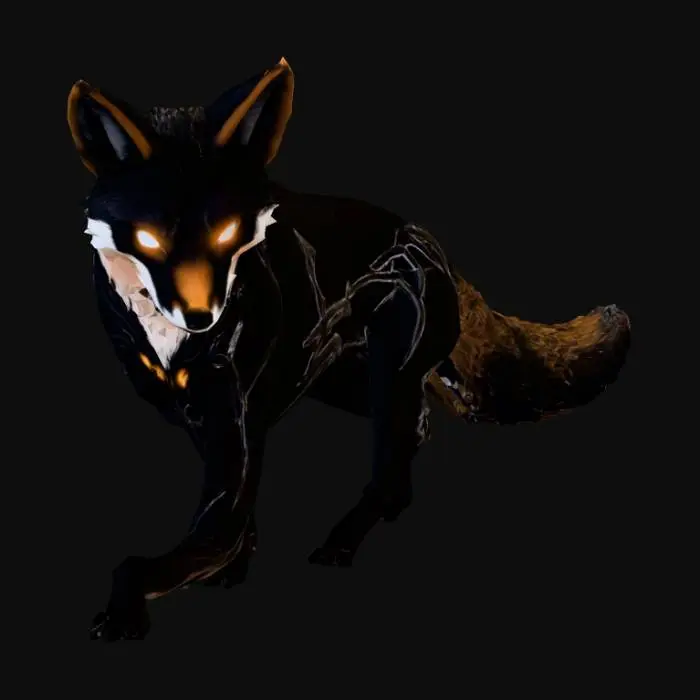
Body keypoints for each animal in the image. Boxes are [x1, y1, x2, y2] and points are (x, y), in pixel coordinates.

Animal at [68, 57, 631, 642]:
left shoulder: (234, 417)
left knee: (396, 462)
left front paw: (127, 613)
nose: (203, 319)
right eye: (150, 241)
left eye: (226, 233)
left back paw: (340, 544)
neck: (173, 351)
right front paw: (230, 570)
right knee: (414, 440)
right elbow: (235, 520)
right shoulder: (213, 420)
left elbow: (182, 544)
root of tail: (422, 235)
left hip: (383, 379)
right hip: (346, 383)